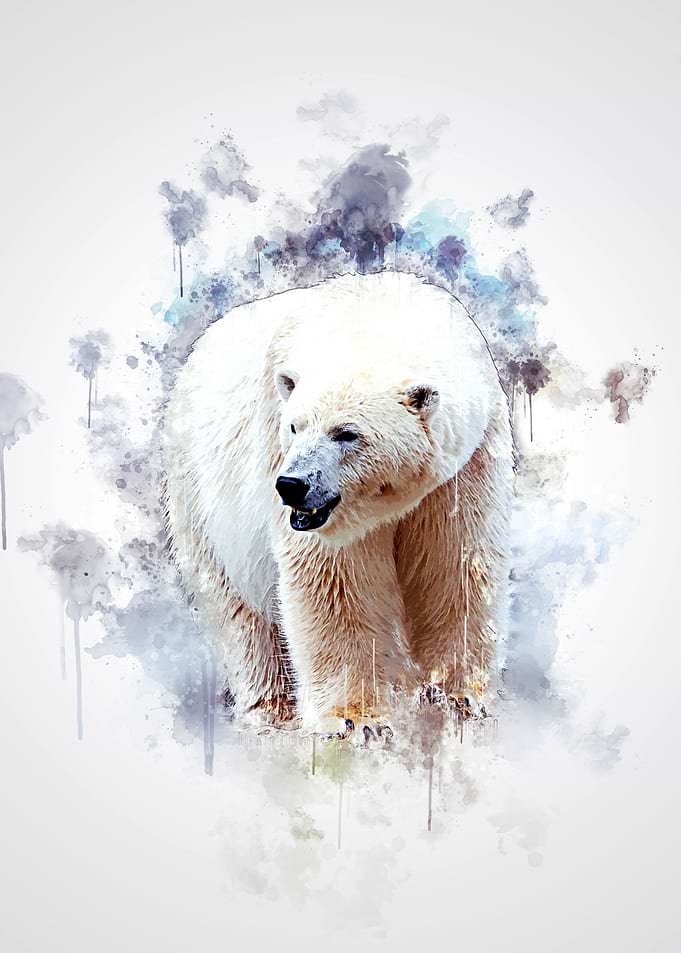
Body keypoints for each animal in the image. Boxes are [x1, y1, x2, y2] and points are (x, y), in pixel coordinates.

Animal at [162, 271, 514, 735]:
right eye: (294, 426)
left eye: (346, 433)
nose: (291, 485)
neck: (370, 316)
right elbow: (334, 580)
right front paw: (355, 719)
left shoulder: (467, 464)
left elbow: (454, 563)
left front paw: (457, 696)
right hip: (200, 495)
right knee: (238, 609)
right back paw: (271, 706)